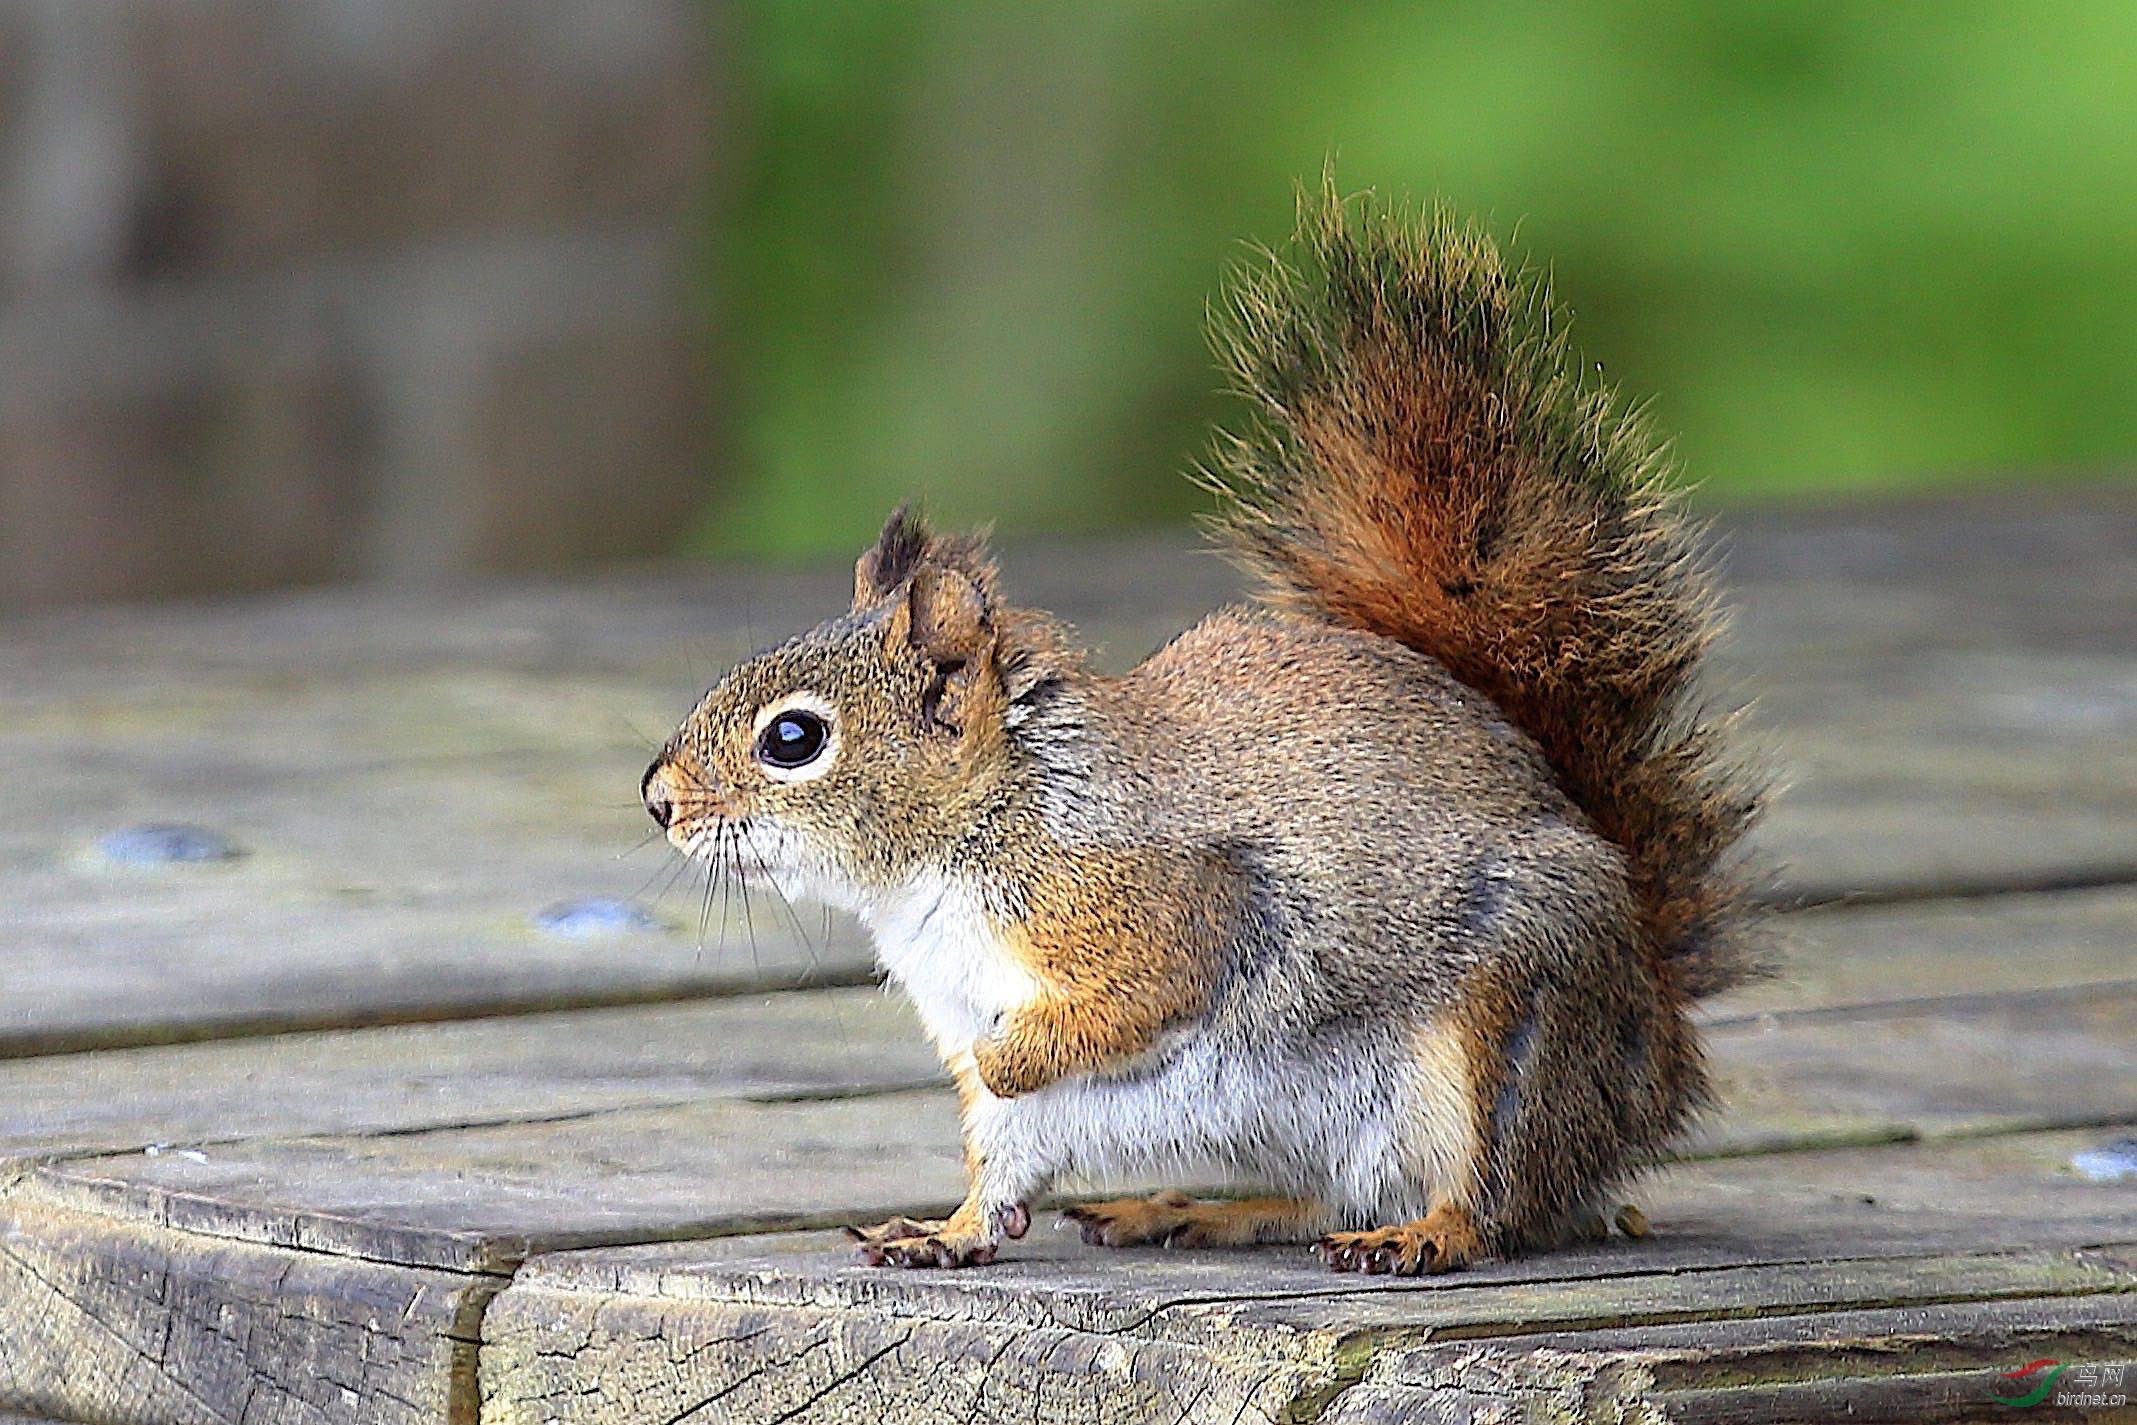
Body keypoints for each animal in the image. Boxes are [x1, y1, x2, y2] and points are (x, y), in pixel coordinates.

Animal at [636, 186, 1769, 1273]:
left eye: (792, 740)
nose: (658, 800)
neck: (976, 831)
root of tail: (1654, 1050)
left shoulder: (1162, 904)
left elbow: (1125, 1004)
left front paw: (1012, 1057)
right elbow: (1001, 1158)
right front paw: (948, 1230)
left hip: (1504, 1029)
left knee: (1493, 1199)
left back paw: (1424, 1235)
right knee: (1336, 1194)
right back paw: (1189, 1209)